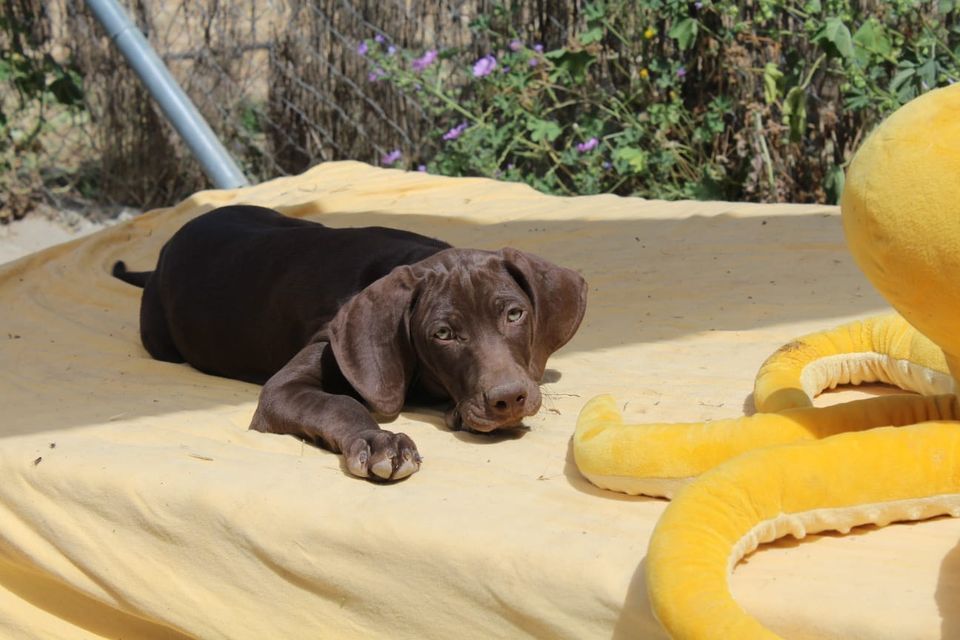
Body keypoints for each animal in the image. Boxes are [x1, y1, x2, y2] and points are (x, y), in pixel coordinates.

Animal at [116, 205, 588, 480]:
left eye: (514, 314)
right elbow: (339, 404)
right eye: (443, 334)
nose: (508, 400)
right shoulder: (287, 386)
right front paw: (380, 441)